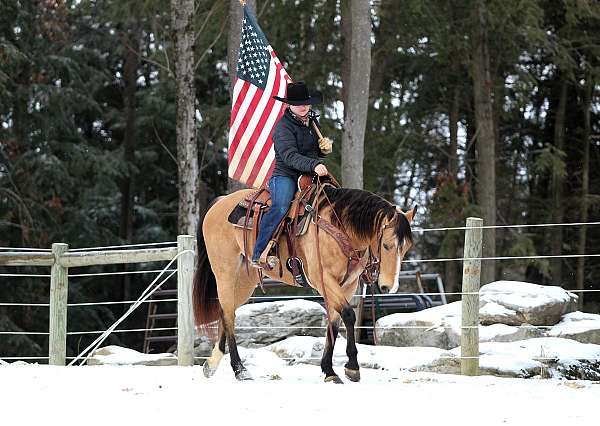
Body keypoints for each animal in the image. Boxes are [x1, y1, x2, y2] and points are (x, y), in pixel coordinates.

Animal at [193, 178, 418, 384]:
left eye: (407, 247)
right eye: (387, 245)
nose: (389, 286)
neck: (340, 226)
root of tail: (220, 203)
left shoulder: (346, 286)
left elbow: (334, 322)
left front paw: (329, 370)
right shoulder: (323, 279)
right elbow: (348, 315)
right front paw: (352, 367)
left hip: (244, 281)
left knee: (226, 311)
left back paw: (212, 364)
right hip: (225, 272)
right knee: (228, 313)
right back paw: (239, 369)